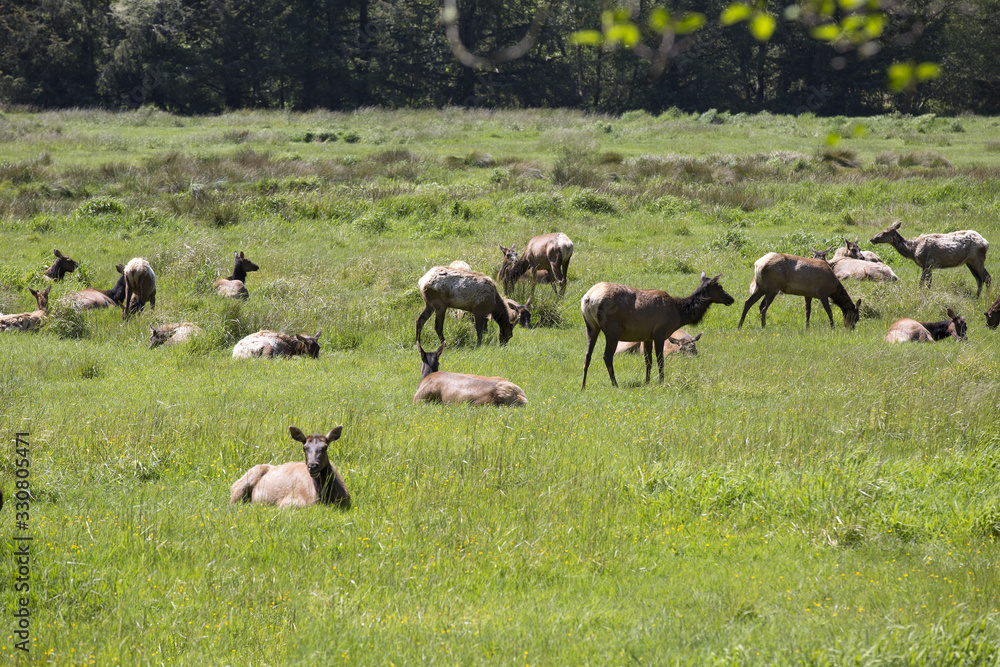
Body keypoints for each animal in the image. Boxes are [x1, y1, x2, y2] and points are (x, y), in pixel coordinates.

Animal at [581, 272, 734, 389]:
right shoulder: (660, 332)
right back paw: (615, 384)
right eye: (720, 286)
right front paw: (661, 381)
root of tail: (588, 298)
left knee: (587, 354)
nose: (731, 299)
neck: (679, 314)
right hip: (612, 329)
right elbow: (660, 360)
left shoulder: (646, 336)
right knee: (607, 356)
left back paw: (583, 385)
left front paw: (647, 382)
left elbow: (648, 361)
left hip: (591, 326)